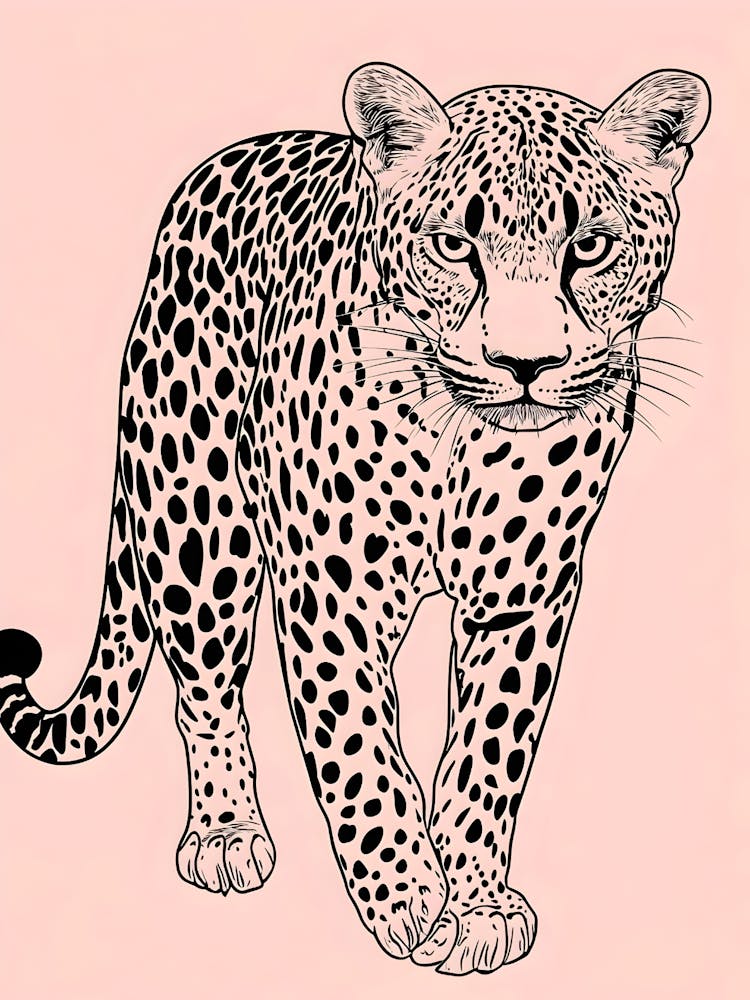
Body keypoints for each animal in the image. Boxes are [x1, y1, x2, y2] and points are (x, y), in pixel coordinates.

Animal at [0, 63, 709, 975]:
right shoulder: (331, 590)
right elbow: (359, 747)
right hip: (196, 519)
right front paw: (406, 900)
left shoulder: (526, 595)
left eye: (589, 247)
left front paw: (474, 905)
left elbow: (488, 754)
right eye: (455, 246)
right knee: (205, 687)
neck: (462, 445)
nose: (524, 363)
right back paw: (225, 832)